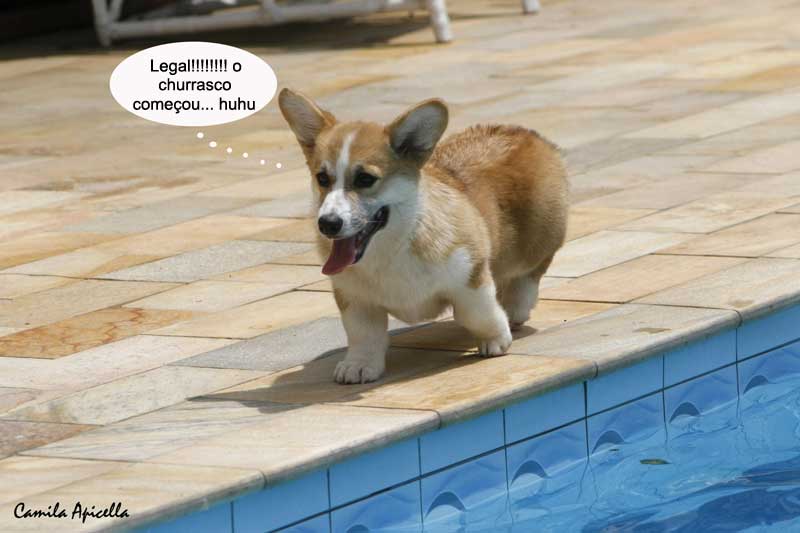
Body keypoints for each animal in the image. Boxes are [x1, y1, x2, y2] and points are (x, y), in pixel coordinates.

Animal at [279, 89, 568, 384]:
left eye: (365, 179)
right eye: (322, 178)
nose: (328, 224)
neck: (391, 247)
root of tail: (525, 133)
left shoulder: (470, 275)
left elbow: (476, 313)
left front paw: (496, 339)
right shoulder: (355, 298)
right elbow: (363, 335)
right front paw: (359, 366)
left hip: (540, 238)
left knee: (531, 271)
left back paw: (515, 306)